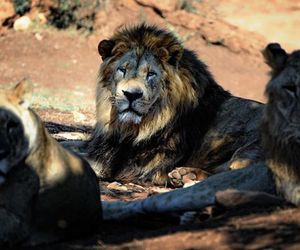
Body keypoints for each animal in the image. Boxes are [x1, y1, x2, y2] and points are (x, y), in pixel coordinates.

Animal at [88, 24, 264, 186]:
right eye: (122, 70)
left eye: (151, 74)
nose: (132, 95)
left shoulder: (145, 168)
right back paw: (186, 175)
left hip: (246, 151)